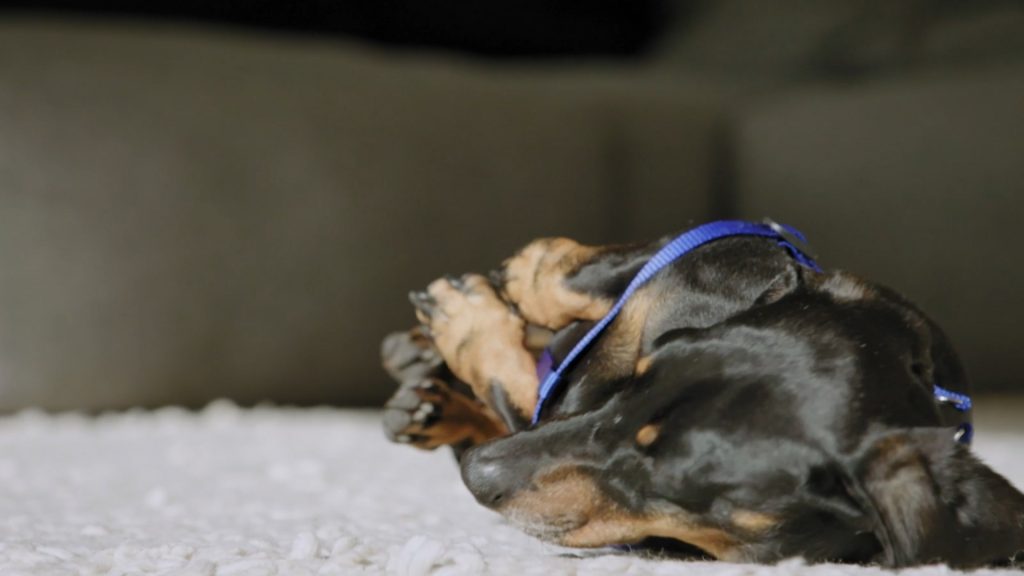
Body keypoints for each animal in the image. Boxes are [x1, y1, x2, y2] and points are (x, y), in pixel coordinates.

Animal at [380, 221, 1024, 568]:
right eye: (642, 378)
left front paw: (466, 327)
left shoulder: (553, 412)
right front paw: (509, 283)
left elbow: (521, 388)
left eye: (667, 483)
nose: (476, 473)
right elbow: (581, 277)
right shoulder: (713, 260)